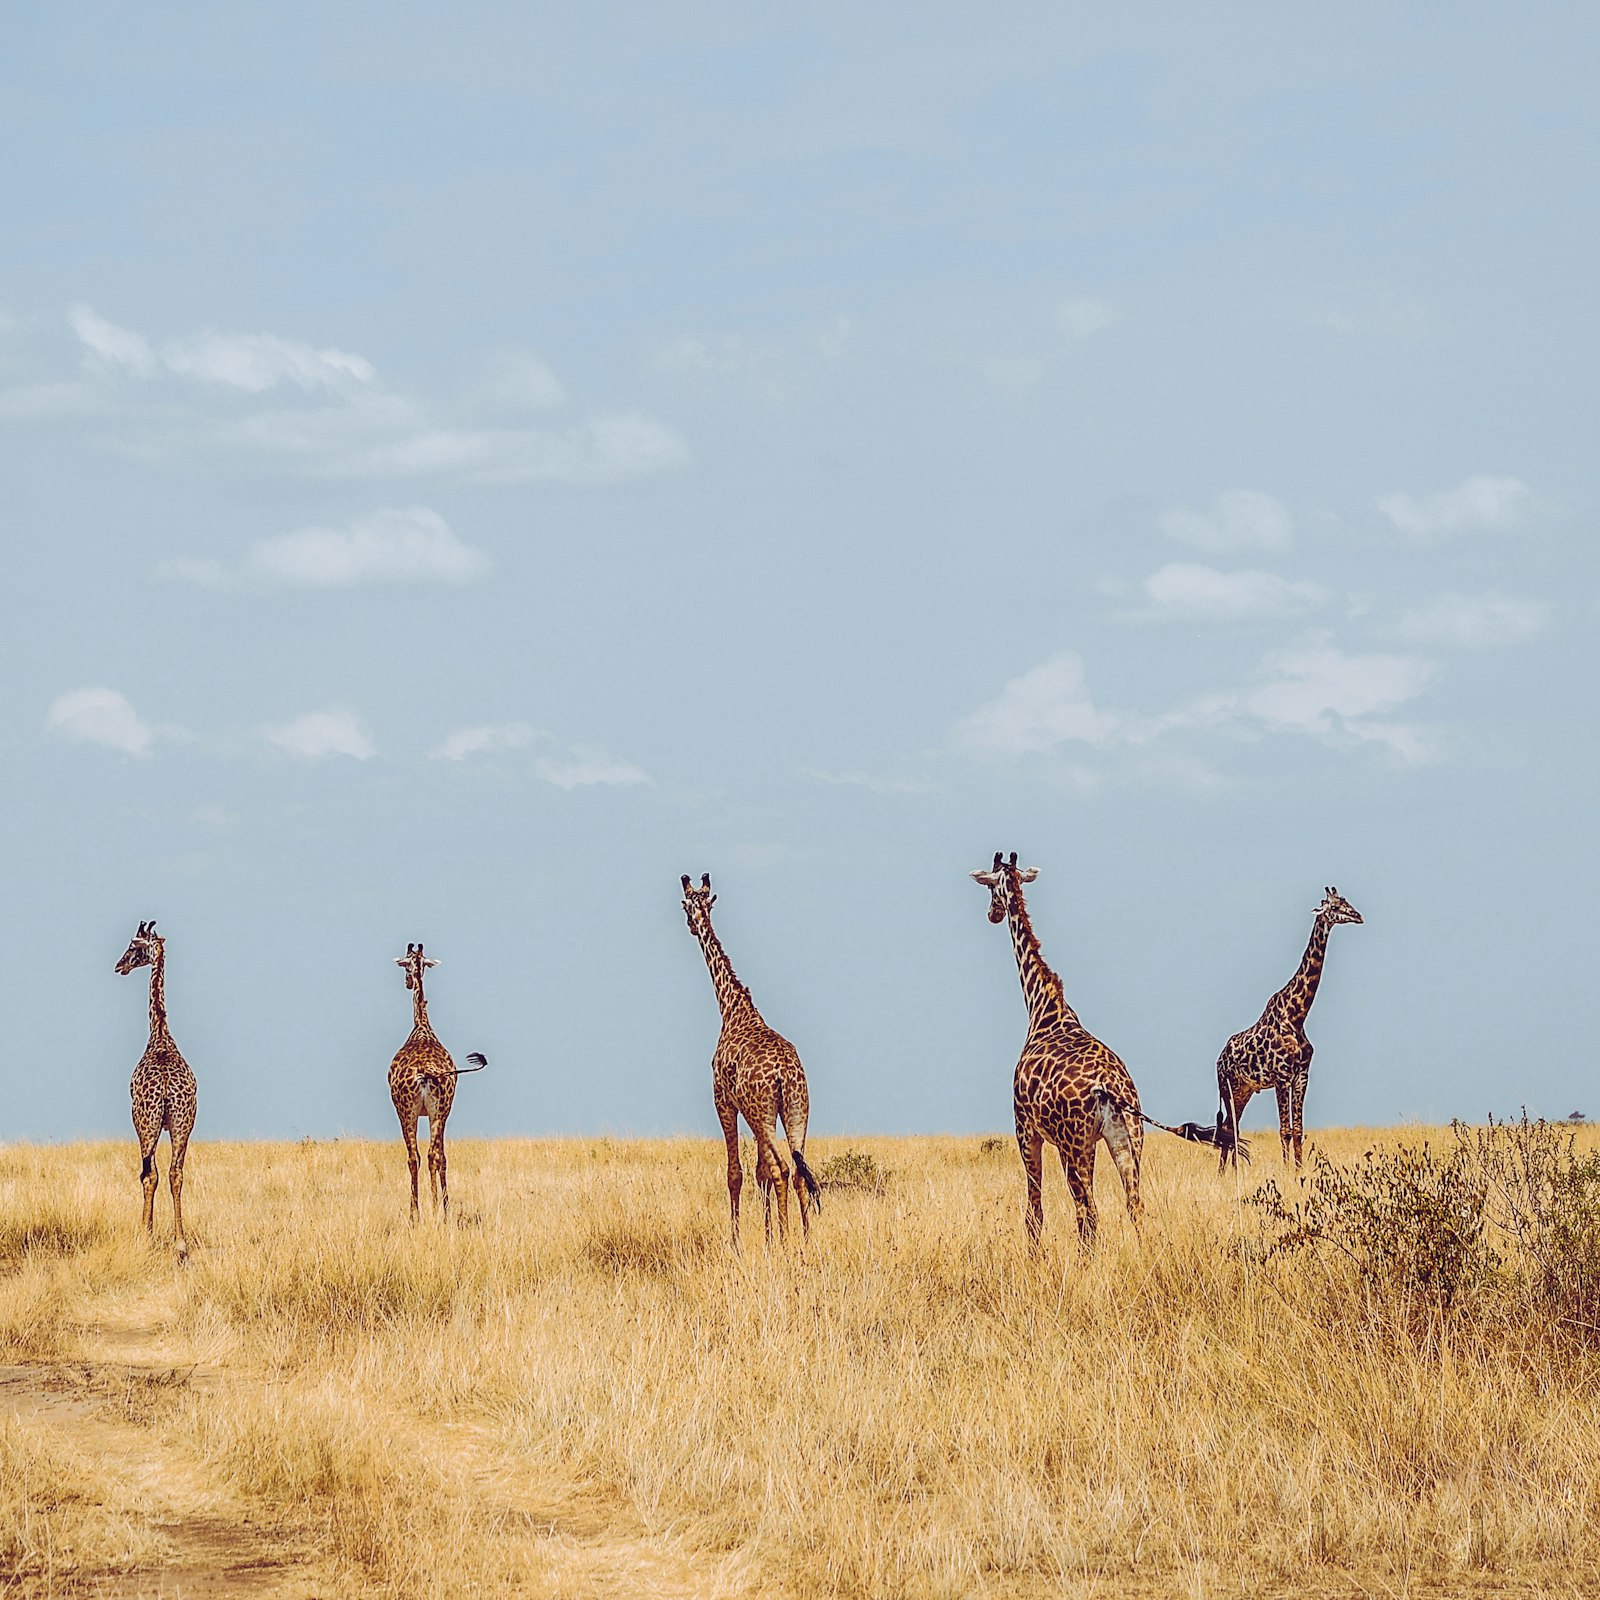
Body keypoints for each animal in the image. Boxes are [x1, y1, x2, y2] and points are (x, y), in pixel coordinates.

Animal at [389, 942, 487, 1218]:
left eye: (405, 964)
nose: (407, 982)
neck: (422, 1026)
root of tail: (426, 1074)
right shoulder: (442, 1112)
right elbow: (441, 1157)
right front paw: (441, 1207)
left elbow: (428, 1157)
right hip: (436, 1110)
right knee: (431, 1155)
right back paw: (436, 1210)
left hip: (408, 1111)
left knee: (416, 1157)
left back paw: (418, 1213)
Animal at [680, 874, 820, 1248]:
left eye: (686, 905)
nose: (692, 927)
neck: (732, 1007)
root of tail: (784, 1075)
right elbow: (758, 1172)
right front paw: (767, 1239)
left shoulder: (724, 1100)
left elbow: (736, 1173)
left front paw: (739, 1242)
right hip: (797, 1109)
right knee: (799, 1170)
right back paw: (806, 1238)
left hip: (762, 1112)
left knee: (782, 1168)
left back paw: (787, 1241)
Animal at [970, 852, 1144, 1248]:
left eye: (989, 888)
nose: (992, 914)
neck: (1042, 1006)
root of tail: (1111, 1088)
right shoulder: (1090, 1141)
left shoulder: (1025, 1129)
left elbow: (1034, 1214)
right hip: (1127, 1139)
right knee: (1135, 1206)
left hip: (1071, 1143)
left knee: (1088, 1212)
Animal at [1215, 886, 1364, 1171]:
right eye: (1334, 907)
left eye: (1347, 901)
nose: (1358, 916)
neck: (1296, 1016)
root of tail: (1219, 1059)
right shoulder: (1282, 1077)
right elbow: (1284, 1130)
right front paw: (1287, 1171)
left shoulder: (1302, 1076)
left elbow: (1298, 1130)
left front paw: (1298, 1169)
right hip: (1227, 1086)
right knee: (1228, 1128)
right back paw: (1227, 1172)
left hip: (1244, 1090)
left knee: (1230, 1127)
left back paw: (1227, 1173)